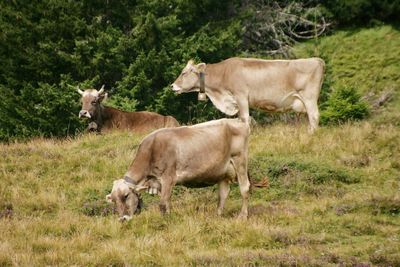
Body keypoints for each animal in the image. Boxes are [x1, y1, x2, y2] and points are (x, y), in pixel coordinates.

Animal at [105, 119, 250, 222]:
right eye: (113, 200)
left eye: (126, 196)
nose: (122, 219)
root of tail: (239, 122)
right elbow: (167, 202)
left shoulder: (168, 177)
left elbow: (163, 203)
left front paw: (165, 222)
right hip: (222, 172)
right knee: (223, 193)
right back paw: (217, 215)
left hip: (240, 160)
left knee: (244, 188)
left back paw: (242, 216)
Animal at [170, 58, 324, 133]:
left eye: (184, 72)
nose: (172, 85)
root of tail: (317, 60)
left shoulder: (241, 96)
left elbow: (244, 119)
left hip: (309, 98)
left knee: (314, 116)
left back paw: (311, 135)